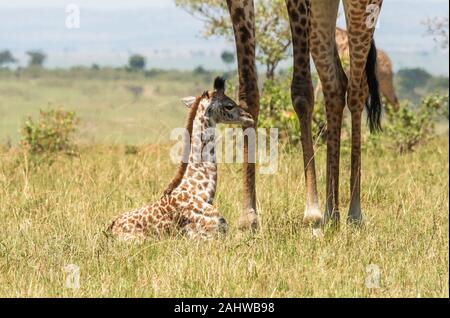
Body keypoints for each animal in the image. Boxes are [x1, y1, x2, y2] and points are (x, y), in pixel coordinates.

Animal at [229, 0, 384, 230]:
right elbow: (248, 92)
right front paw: (248, 218)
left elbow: (302, 93)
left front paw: (312, 213)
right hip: (322, 10)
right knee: (336, 84)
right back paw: (332, 213)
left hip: (361, 7)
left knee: (357, 89)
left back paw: (353, 214)